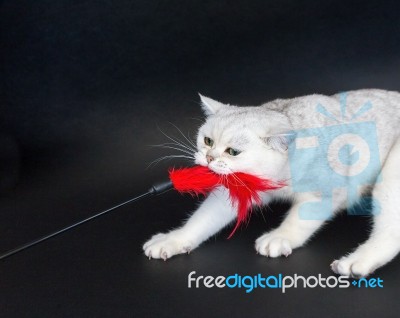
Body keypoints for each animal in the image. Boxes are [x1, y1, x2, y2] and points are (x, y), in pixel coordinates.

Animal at [143, 88, 400, 278]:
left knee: (390, 233)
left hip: (391, 177)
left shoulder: (327, 190)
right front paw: (174, 239)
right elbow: (201, 220)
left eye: (232, 151)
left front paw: (280, 237)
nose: (209, 158)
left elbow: (299, 221)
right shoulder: (236, 190)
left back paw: (357, 262)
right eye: (207, 141)